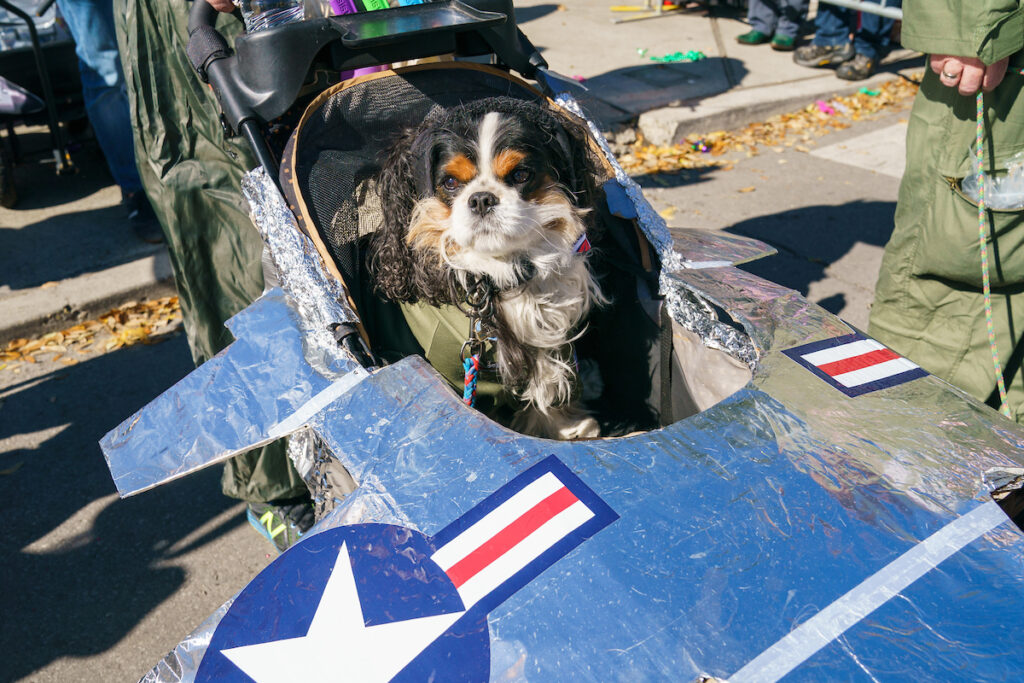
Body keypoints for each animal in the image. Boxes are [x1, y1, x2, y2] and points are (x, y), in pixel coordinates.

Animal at [370, 96, 602, 440]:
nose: (481, 199)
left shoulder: (555, 343)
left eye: (520, 175)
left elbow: (551, 387)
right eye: (450, 182)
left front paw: (566, 428)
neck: (497, 273)